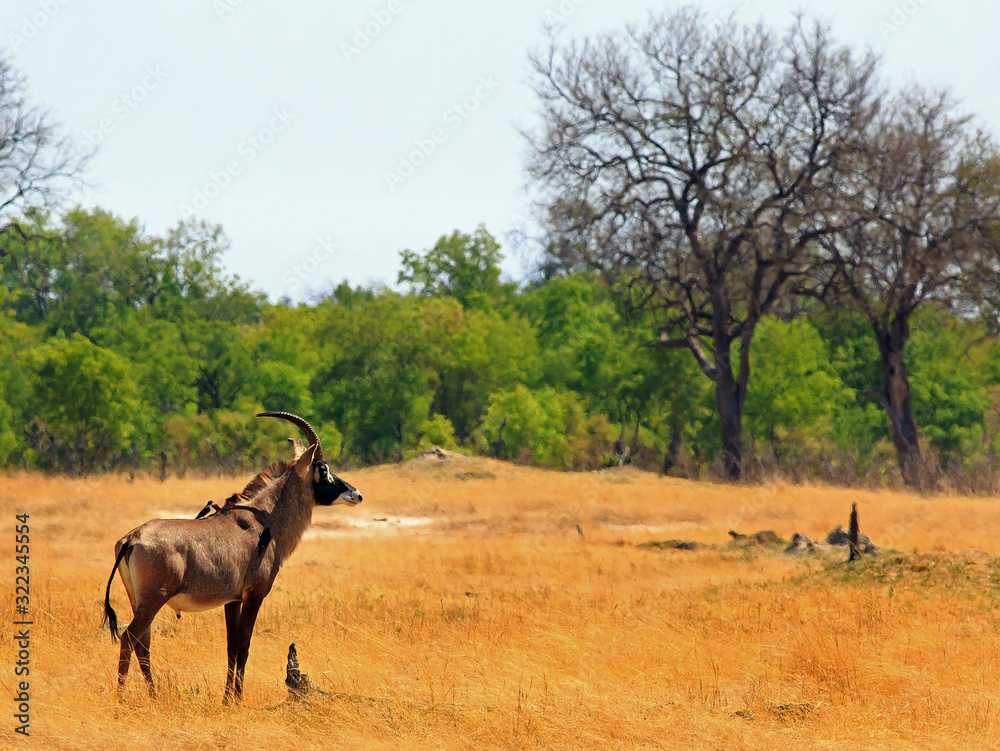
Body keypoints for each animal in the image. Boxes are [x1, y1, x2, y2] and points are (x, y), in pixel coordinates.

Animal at [100, 412, 360, 704]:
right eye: (323, 468)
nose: (356, 494)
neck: (264, 520)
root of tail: (133, 539)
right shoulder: (254, 595)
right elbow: (244, 645)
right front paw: (238, 699)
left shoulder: (232, 600)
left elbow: (231, 647)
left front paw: (227, 699)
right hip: (154, 599)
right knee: (129, 638)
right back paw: (121, 698)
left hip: (139, 600)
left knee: (143, 644)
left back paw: (155, 697)